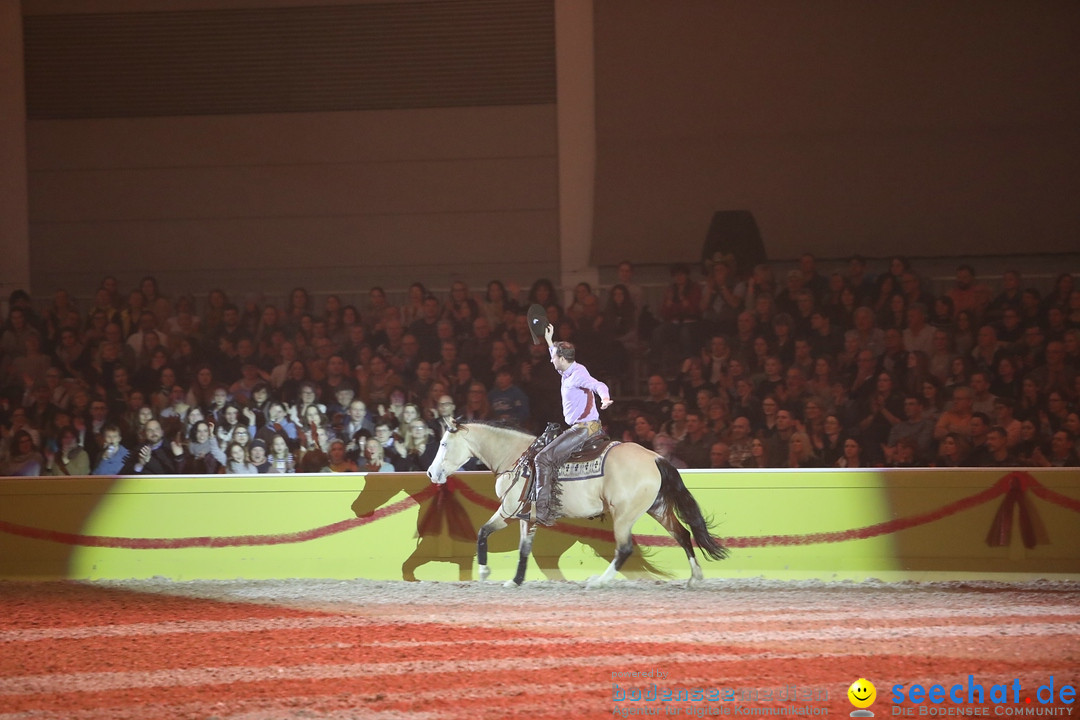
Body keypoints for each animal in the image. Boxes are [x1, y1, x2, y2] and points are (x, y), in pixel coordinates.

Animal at [423, 423, 725, 587]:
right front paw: (515, 580)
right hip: (658, 508)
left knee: (625, 548)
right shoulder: (526, 517)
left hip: (623, 515)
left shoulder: (507, 510)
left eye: (444, 444)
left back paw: (599, 581)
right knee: (683, 534)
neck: (517, 458)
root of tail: (654, 457)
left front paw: (485, 572)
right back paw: (695, 577)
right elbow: (524, 549)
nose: (430, 473)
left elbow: (482, 532)